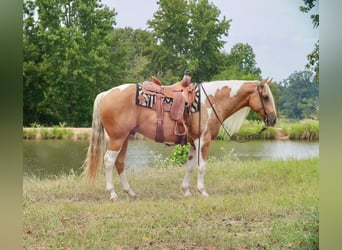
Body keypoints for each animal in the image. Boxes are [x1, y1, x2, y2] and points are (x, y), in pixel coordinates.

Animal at [83, 77, 278, 199]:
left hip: (124, 139)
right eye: (266, 97)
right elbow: (202, 167)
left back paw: (130, 192)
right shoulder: (203, 140)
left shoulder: (193, 143)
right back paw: (112, 194)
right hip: (117, 138)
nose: (274, 119)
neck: (211, 101)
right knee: (109, 161)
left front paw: (186, 191)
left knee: (120, 163)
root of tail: (106, 93)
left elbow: (190, 167)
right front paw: (202, 191)